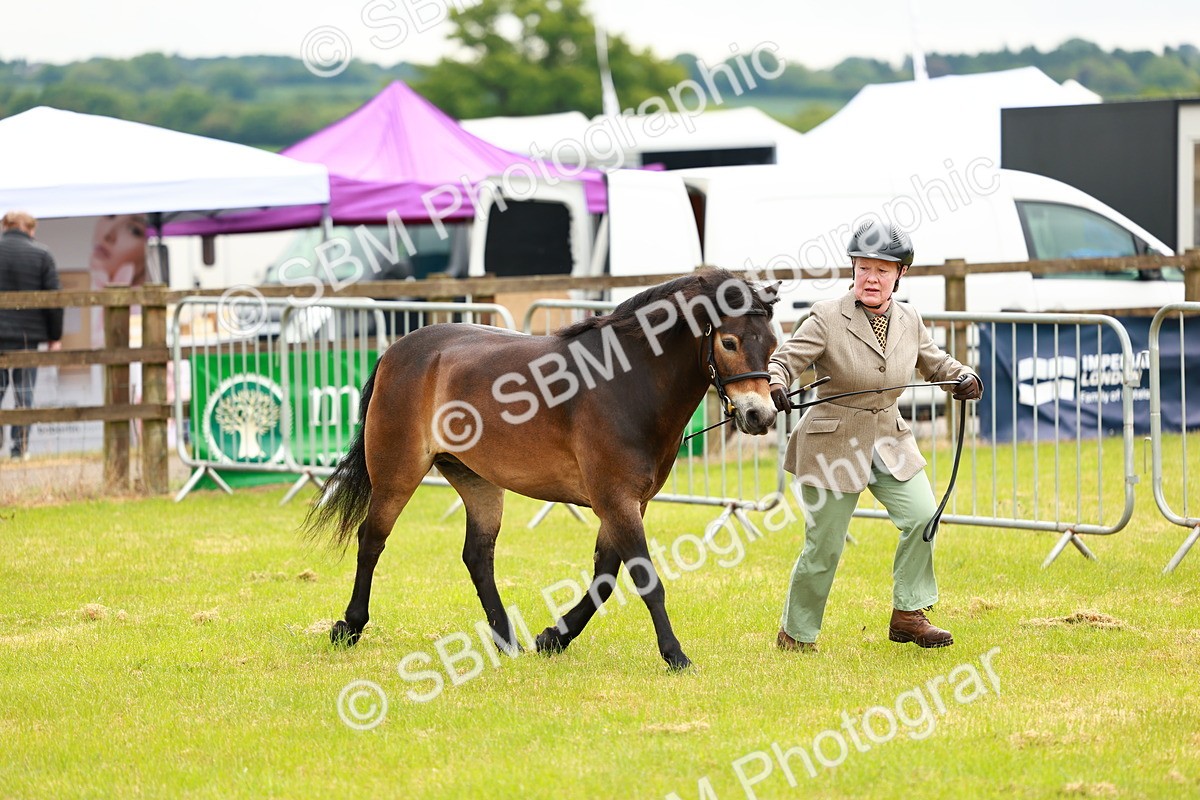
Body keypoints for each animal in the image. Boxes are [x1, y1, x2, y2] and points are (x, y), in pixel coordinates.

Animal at [305, 267, 780, 670]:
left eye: (772, 343)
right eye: (730, 342)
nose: (761, 416)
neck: (626, 384)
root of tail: (396, 351)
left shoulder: (628, 503)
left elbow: (605, 577)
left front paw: (554, 637)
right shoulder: (615, 500)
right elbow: (645, 578)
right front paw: (675, 655)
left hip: (477, 482)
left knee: (478, 556)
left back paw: (506, 640)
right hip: (397, 472)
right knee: (372, 539)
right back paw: (349, 625)